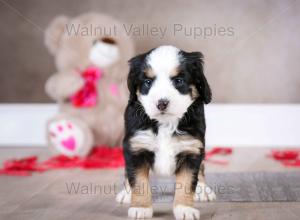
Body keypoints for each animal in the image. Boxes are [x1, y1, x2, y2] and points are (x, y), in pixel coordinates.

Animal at [115, 45, 216, 219]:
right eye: (148, 82)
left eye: (178, 81)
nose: (162, 103)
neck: (165, 123)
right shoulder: (136, 147)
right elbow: (138, 180)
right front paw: (141, 208)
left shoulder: (191, 149)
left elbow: (188, 182)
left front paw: (185, 209)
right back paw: (126, 193)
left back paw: (203, 190)